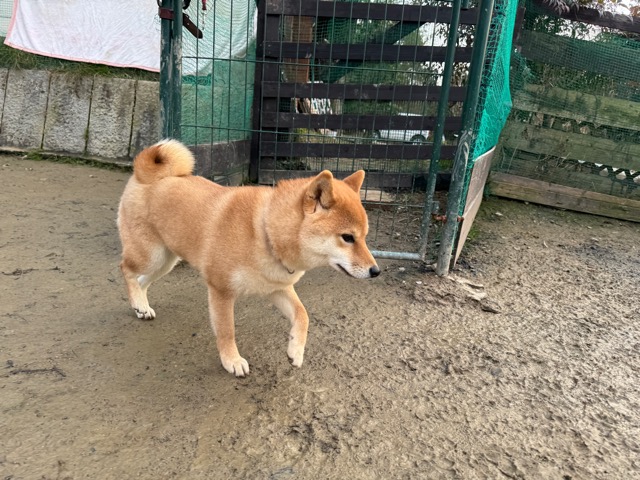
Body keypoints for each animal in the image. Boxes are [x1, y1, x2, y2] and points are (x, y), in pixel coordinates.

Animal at [117, 139, 380, 377]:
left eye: (365, 236)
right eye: (348, 238)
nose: (375, 271)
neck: (264, 231)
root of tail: (145, 176)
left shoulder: (277, 288)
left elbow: (303, 315)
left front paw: (295, 351)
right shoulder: (221, 291)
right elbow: (227, 331)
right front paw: (232, 361)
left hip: (165, 261)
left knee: (142, 281)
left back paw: (141, 306)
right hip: (151, 256)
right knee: (126, 269)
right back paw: (138, 301)